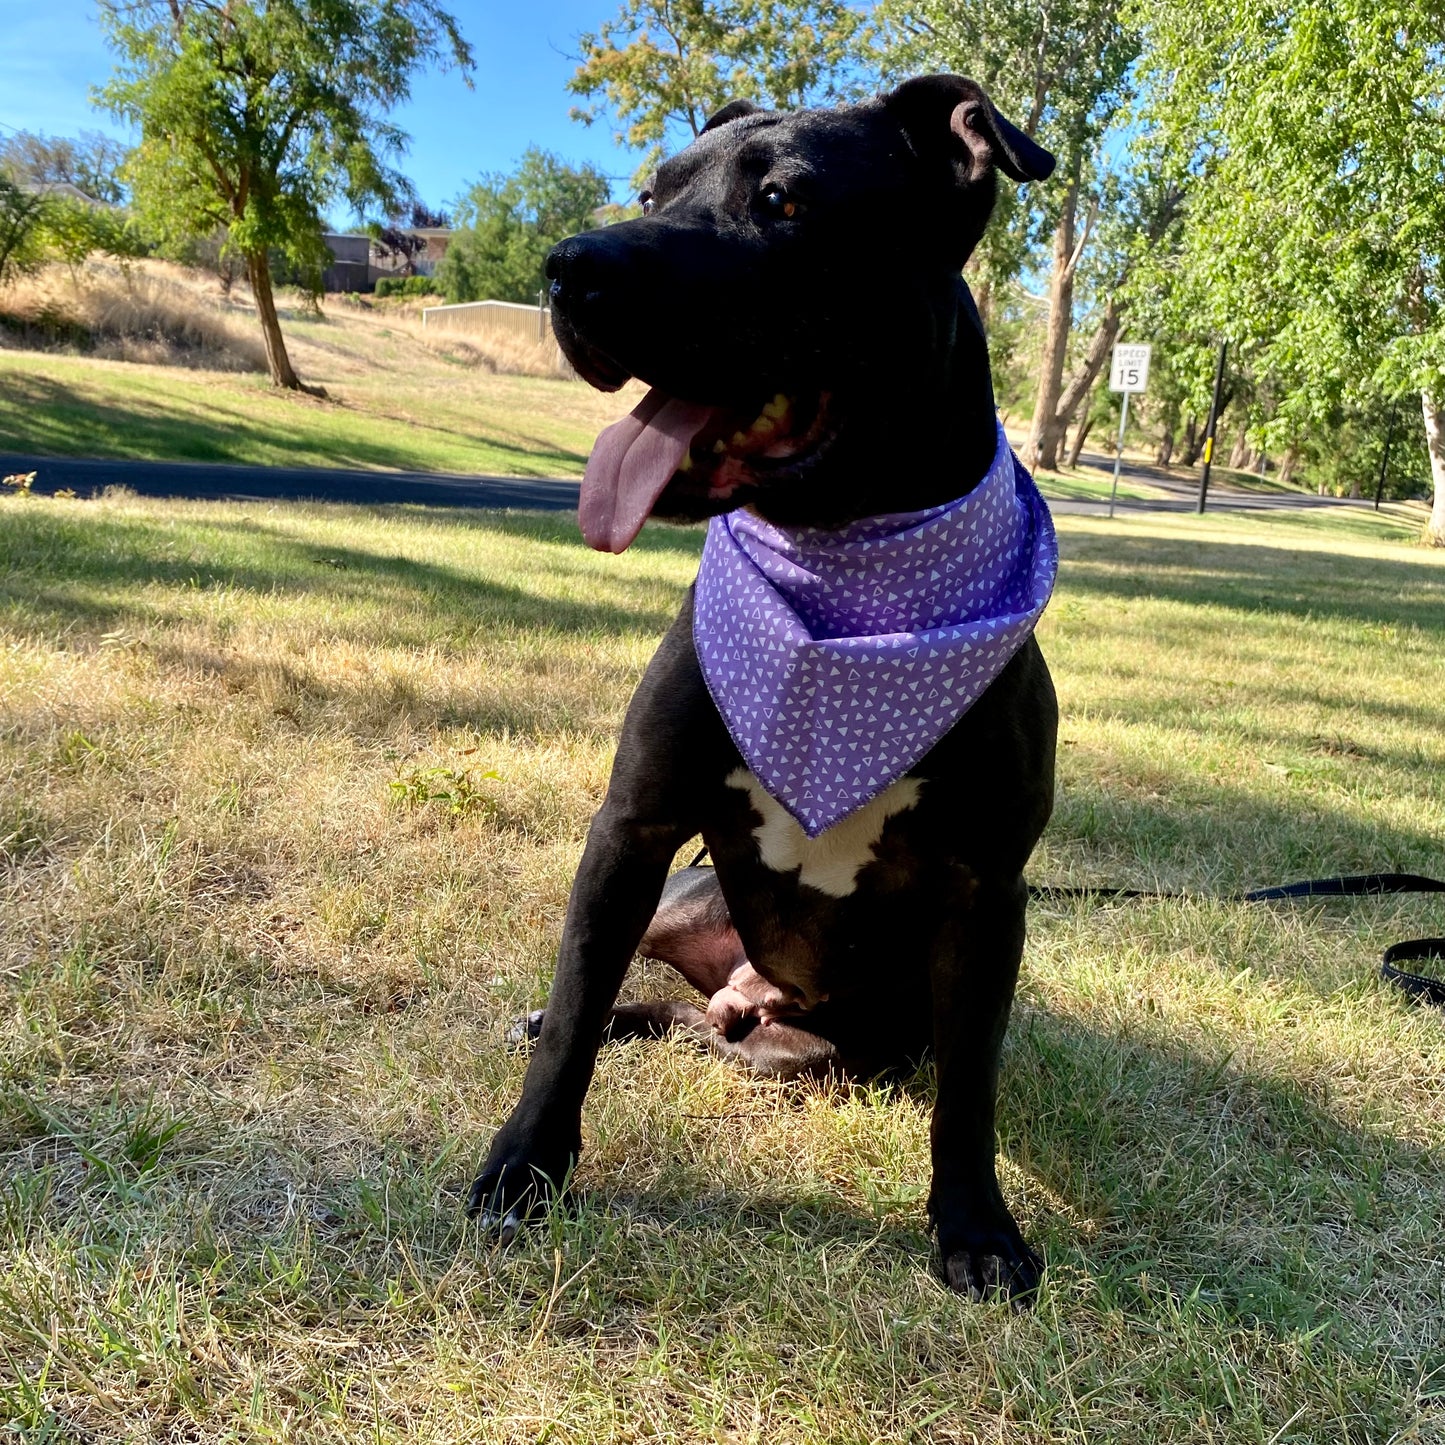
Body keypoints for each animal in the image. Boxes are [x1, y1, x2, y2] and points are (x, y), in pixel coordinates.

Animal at [473, 73, 1063, 1306]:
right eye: (654, 191)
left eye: (784, 201)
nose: (568, 265)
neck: (837, 566)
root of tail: (749, 990)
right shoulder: (632, 828)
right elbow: (574, 1019)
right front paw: (523, 1165)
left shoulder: (986, 895)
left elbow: (969, 1092)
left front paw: (975, 1227)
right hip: (680, 897)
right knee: (616, 992)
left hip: (801, 1051)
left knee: (700, 1026)